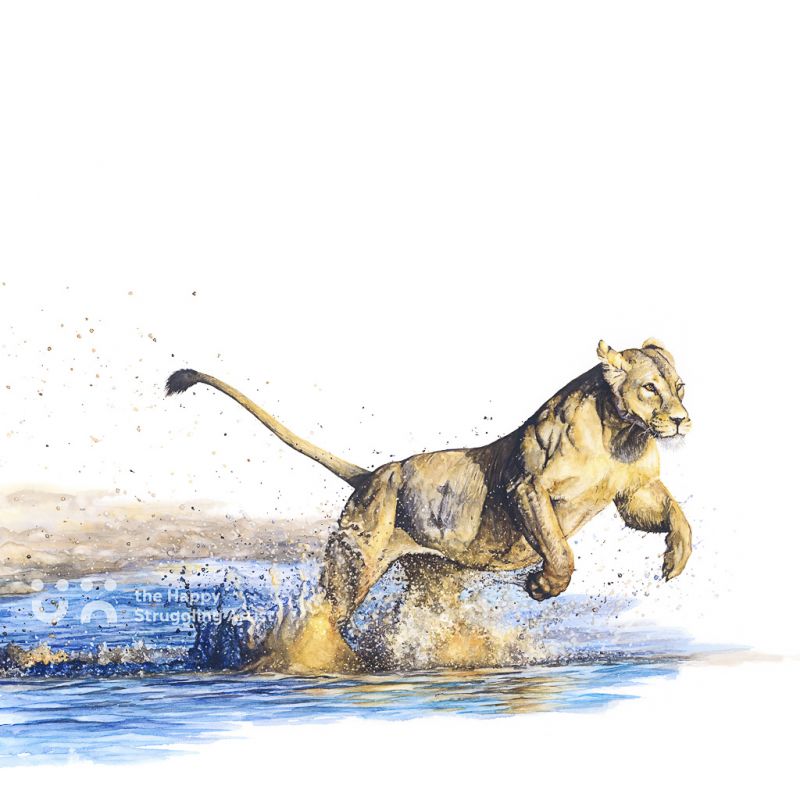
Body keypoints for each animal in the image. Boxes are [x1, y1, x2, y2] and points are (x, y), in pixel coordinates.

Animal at [166, 338, 692, 672]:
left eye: (679, 387)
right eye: (649, 387)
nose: (681, 421)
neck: (618, 432)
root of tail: (370, 475)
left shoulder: (635, 492)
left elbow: (675, 513)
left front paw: (677, 557)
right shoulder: (525, 486)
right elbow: (559, 549)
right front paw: (542, 586)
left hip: (433, 581)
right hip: (354, 567)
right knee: (324, 617)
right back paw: (321, 661)